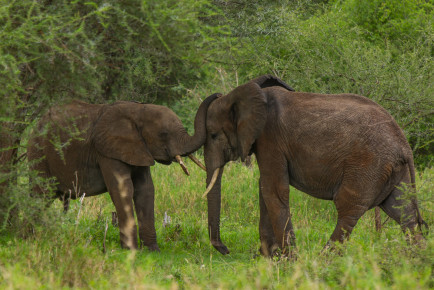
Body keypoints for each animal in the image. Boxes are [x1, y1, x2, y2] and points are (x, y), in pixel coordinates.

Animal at [26, 95, 217, 251]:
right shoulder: (107, 151)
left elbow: (146, 190)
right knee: (40, 195)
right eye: (163, 134)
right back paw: (32, 238)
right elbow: (123, 189)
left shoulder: (139, 148)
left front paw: (152, 250)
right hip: (38, 153)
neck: (138, 110)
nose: (217, 95)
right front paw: (131, 250)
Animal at [203, 74, 428, 256]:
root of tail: (404, 145)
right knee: (404, 213)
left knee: (348, 210)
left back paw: (322, 261)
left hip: (369, 165)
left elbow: (273, 190)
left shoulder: (269, 137)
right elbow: (265, 187)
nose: (224, 250)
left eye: (213, 135)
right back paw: (416, 260)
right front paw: (270, 257)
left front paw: (287, 261)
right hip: (395, 170)